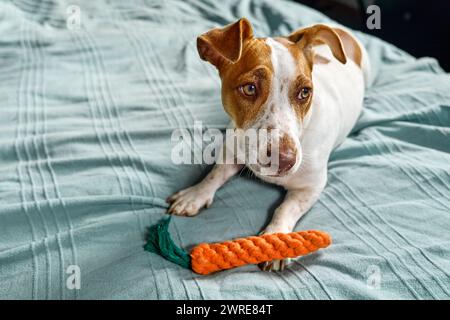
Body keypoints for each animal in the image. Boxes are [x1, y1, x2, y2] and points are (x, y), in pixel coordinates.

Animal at [165, 18, 370, 270]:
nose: (284, 161)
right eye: (249, 88)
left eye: (304, 92)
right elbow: (214, 175)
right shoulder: (232, 149)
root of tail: (342, 30)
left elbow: (285, 208)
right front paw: (195, 194)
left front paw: (277, 239)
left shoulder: (311, 186)